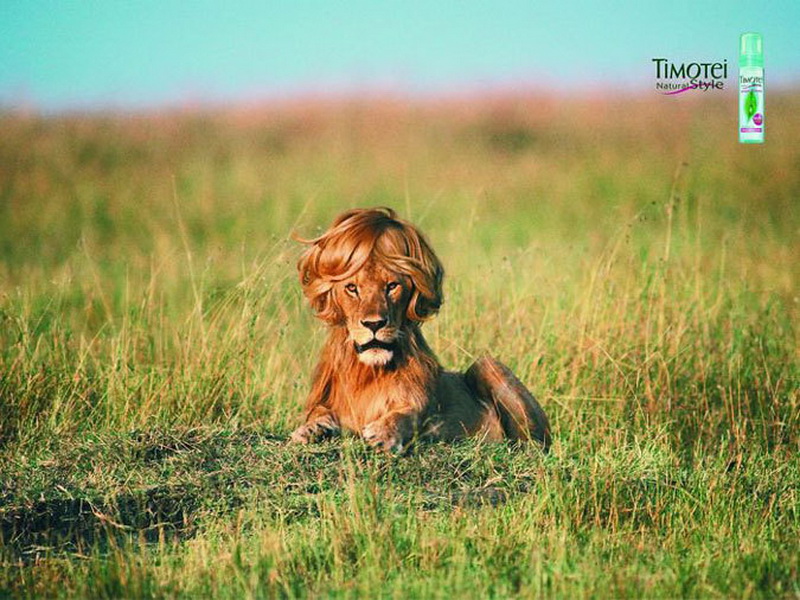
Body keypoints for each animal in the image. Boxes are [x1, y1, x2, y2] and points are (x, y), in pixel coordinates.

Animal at [290, 209, 552, 452]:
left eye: (392, 286)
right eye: (352, 288)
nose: (374, 324)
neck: (367, 372)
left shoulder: (429, 412)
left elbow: (408, 414)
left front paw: (384, 433)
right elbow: (319, 412)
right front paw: (310, 430)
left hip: (487, 364)